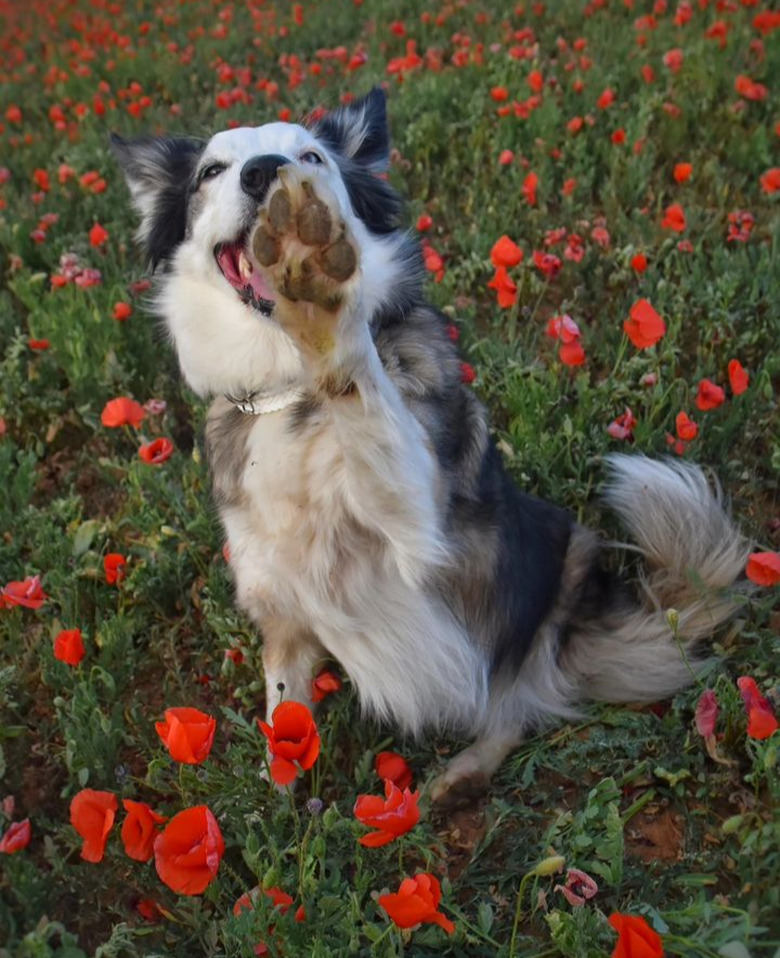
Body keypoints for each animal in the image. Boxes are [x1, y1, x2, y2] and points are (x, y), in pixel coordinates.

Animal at [111, 90, 748, 808]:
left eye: (311, 156)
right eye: (212, 171)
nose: (264, 173)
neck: (287, 389)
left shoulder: (418, 531)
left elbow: (369, 408)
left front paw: (321, 299)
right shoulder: (280, 607)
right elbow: (285, 706)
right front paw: (282, 790)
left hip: (557, 574)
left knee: (517, 704)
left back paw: (465, 770)